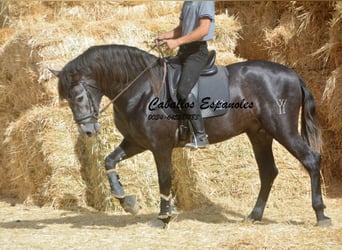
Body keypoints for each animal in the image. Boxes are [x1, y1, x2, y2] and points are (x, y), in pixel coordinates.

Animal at [49, 43, 330, 227]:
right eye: (68, 100)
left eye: (78, 97)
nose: (87, 130)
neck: (141, 89)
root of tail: (292, 74)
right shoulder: (136, 142)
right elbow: (109, 160)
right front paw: (126, 200)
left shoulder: (160, 147)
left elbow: (164, 180)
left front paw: (163, 217)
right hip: (260, 134)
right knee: (268, 171)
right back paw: (254, 215)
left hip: (282, 129)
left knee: (311, 160)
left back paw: (321, 215)